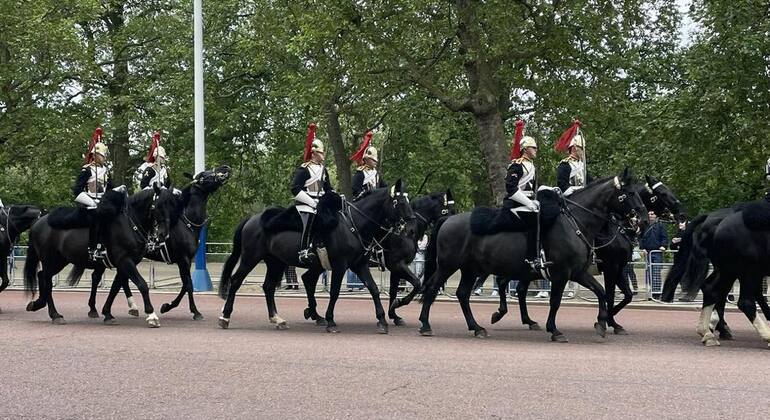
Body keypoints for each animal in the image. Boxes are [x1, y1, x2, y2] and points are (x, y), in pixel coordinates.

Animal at [23, 187, 176, 328]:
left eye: (172, 205)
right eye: (158, 205)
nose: (164, 234)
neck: (130, 224)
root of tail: (38, 222)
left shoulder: (125, 263)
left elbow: (115, 288)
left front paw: (107, 313)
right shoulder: (125, 261)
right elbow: (142, 284)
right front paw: (152, 315)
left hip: (60, 261)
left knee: (42, 275)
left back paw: (38, 304)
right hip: (50, 259)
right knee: (47, 280)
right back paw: (55, 314)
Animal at [82, 166, 231, 320]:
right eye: (203, 175)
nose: (225, 168)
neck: (186, 221)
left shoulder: (187, 260)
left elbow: (185, 284)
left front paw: (167, 306)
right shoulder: (183, 259)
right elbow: (188, 284)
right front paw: (193, 311)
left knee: (107, 277)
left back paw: (116, 308)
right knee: (105, 277)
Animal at [216, 180, 414, 334]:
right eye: (399, 202)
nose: (411, 228)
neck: (353, 225)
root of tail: (251, 219)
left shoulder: (359, 265)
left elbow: (373, 289)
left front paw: (382, 320)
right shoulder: (340, 265)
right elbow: (334, 292)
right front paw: (330, 321)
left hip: (276, 262)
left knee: (269, 286)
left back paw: (278, 319)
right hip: (251, 257)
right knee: (236, 281)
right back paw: (225, 317)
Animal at [382, 190, 452, 324]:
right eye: (447, 210)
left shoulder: (396, 268)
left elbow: (393, 290)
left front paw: (394, 314)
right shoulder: (398, 264)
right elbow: (417, 283)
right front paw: (400, 302)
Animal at [416, 169, 644, 342]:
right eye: (630, 192)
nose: (642, 218)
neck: (576, 223)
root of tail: (448, 220)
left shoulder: (579, 272)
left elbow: (601, 292)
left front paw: (602, 322)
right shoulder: (563, 273)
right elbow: (556, 301)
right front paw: (555, 330)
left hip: (471, 269)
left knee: (464, 294)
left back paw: (477, 327)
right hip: (448, 266)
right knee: (432, 288)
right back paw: (426, 325)